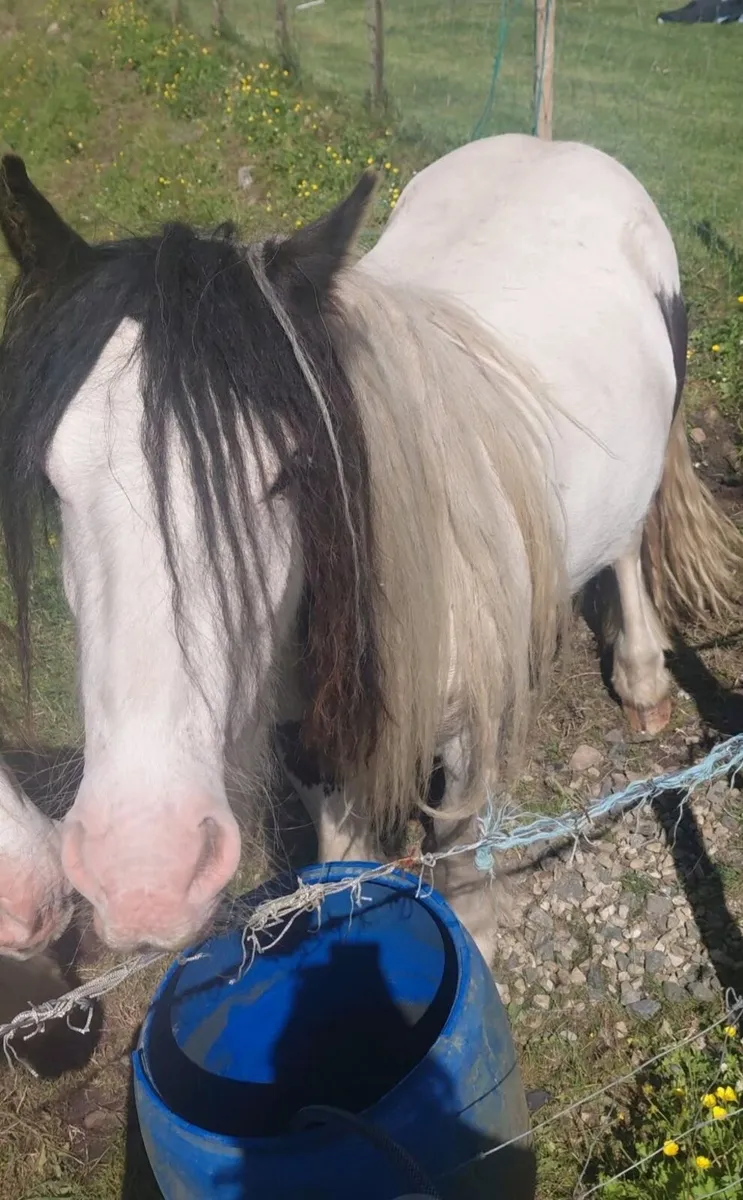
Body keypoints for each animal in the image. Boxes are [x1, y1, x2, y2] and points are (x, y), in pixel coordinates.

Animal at [0, 134, 740, 960]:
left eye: (293, 470)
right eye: (54, 483)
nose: (144, 871)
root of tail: (553, 144)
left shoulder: (468, 729)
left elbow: (459, 839)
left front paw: (475, 937)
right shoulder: (311, 741)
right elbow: (343, 860)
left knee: (627, 542)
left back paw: (642, 679)